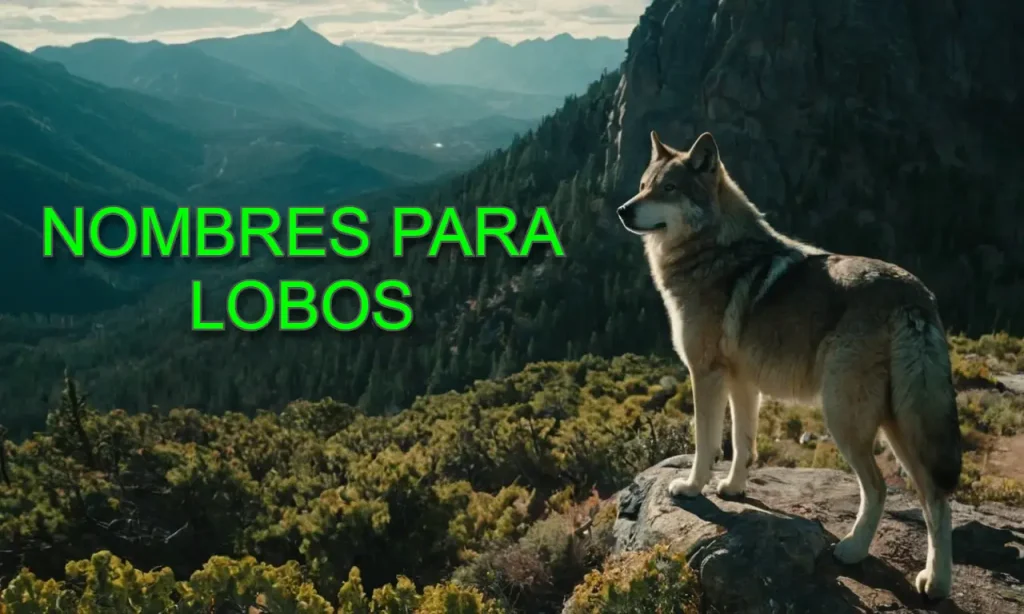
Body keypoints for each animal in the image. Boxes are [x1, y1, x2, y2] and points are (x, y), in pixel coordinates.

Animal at [616, 131, 962, 600]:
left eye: (667, 189)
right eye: (643, 185)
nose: (623, 209)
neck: (714, 250)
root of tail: (915, 296)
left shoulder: (705, 374)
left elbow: (706, 442)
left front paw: (690, 488)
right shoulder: (744, 384)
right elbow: (743, 444)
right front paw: (734, 489)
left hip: (846, 417)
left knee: (879, 488)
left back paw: (852, 550)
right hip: (901, 424)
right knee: (935, 499)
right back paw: (936, 582)